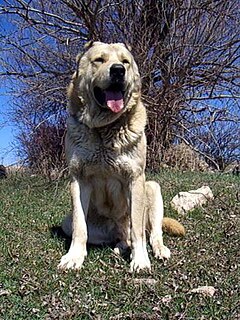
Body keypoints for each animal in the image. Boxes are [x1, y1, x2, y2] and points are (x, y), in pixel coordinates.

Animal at [58, 42, 186, 272]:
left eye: (125, 61)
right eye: (99, 60)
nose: (118, 70)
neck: (104, 129)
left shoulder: (135, 179)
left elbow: (138, 230)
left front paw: (141, 260)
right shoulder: (78, 179)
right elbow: (80, 227)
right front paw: (74, 257)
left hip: (152, 189)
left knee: (152, 233)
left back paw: (158, 250)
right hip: (69, 222)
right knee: (116, 237)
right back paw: (120, 247)